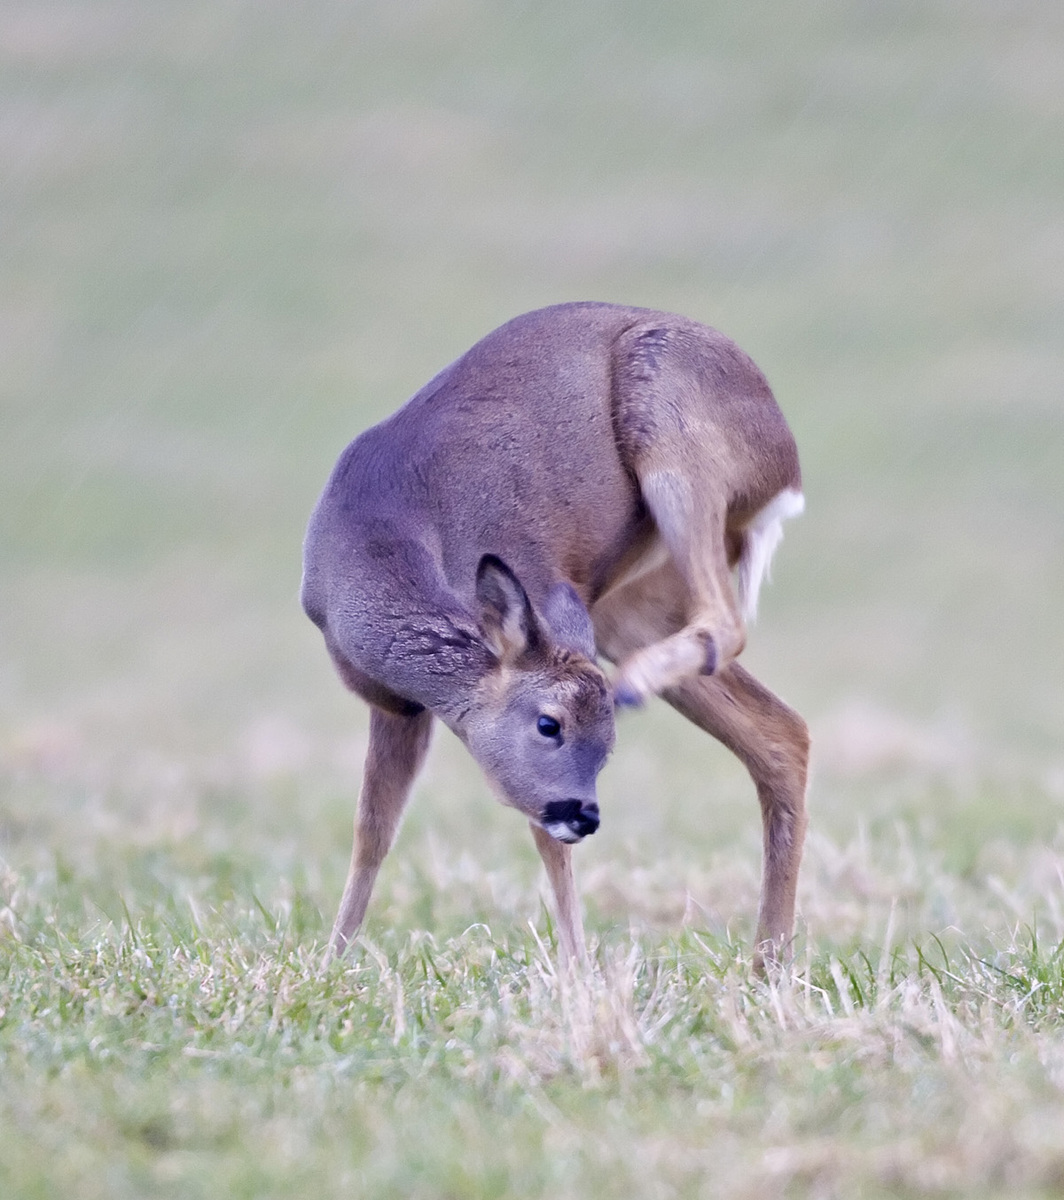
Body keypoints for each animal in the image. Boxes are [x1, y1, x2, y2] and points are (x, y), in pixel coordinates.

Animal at [301, 301, 809, 972]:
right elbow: (373, 832)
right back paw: (766, 966)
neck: (376, 544)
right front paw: (330, 963)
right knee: (782, 734)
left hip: (673, 433)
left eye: (609, 745)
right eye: (550, 724)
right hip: (627, 607)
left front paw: (578, 972)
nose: (587, 814)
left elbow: (545, 847)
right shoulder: (396, 704)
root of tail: (788, 467)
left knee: (728, 625)